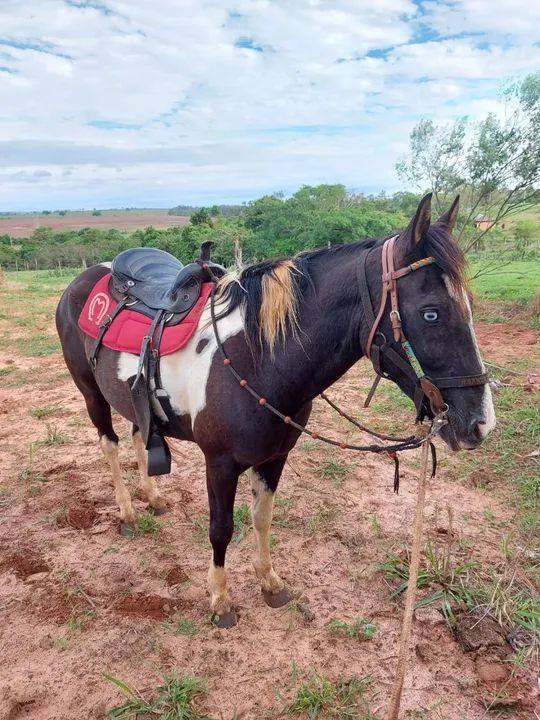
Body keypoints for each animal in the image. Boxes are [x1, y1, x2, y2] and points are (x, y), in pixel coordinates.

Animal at [56, 194, 495, 627]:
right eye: (431, 312)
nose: (480, 424)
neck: (258, 358)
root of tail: (84, 278)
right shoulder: (219, 463)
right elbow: (221, 528)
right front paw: (220, 600)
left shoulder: (275, 456)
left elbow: (262, 518)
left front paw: (269, 582)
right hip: (91, 394)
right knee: (110, 445)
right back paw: (128, 512)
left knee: (137, 435)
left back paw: (152, 497)